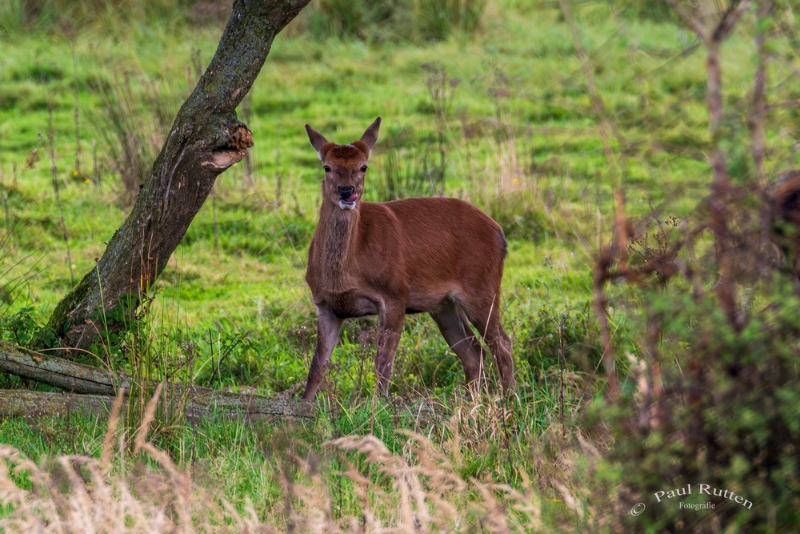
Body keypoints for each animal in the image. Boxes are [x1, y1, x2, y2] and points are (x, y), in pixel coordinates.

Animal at [302, 118, 520, 402]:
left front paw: (376, 406)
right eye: (327, 166)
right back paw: (472, 402)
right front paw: (304, 405)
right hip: (443, 305)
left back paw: (510, 400)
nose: (347, 191)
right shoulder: (325, 304)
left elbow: (383, 364)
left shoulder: (394, 295)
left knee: (501, 342)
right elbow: (317, 366)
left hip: (482, 287)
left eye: (363, 166)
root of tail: (500, 234)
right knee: (474, 352)